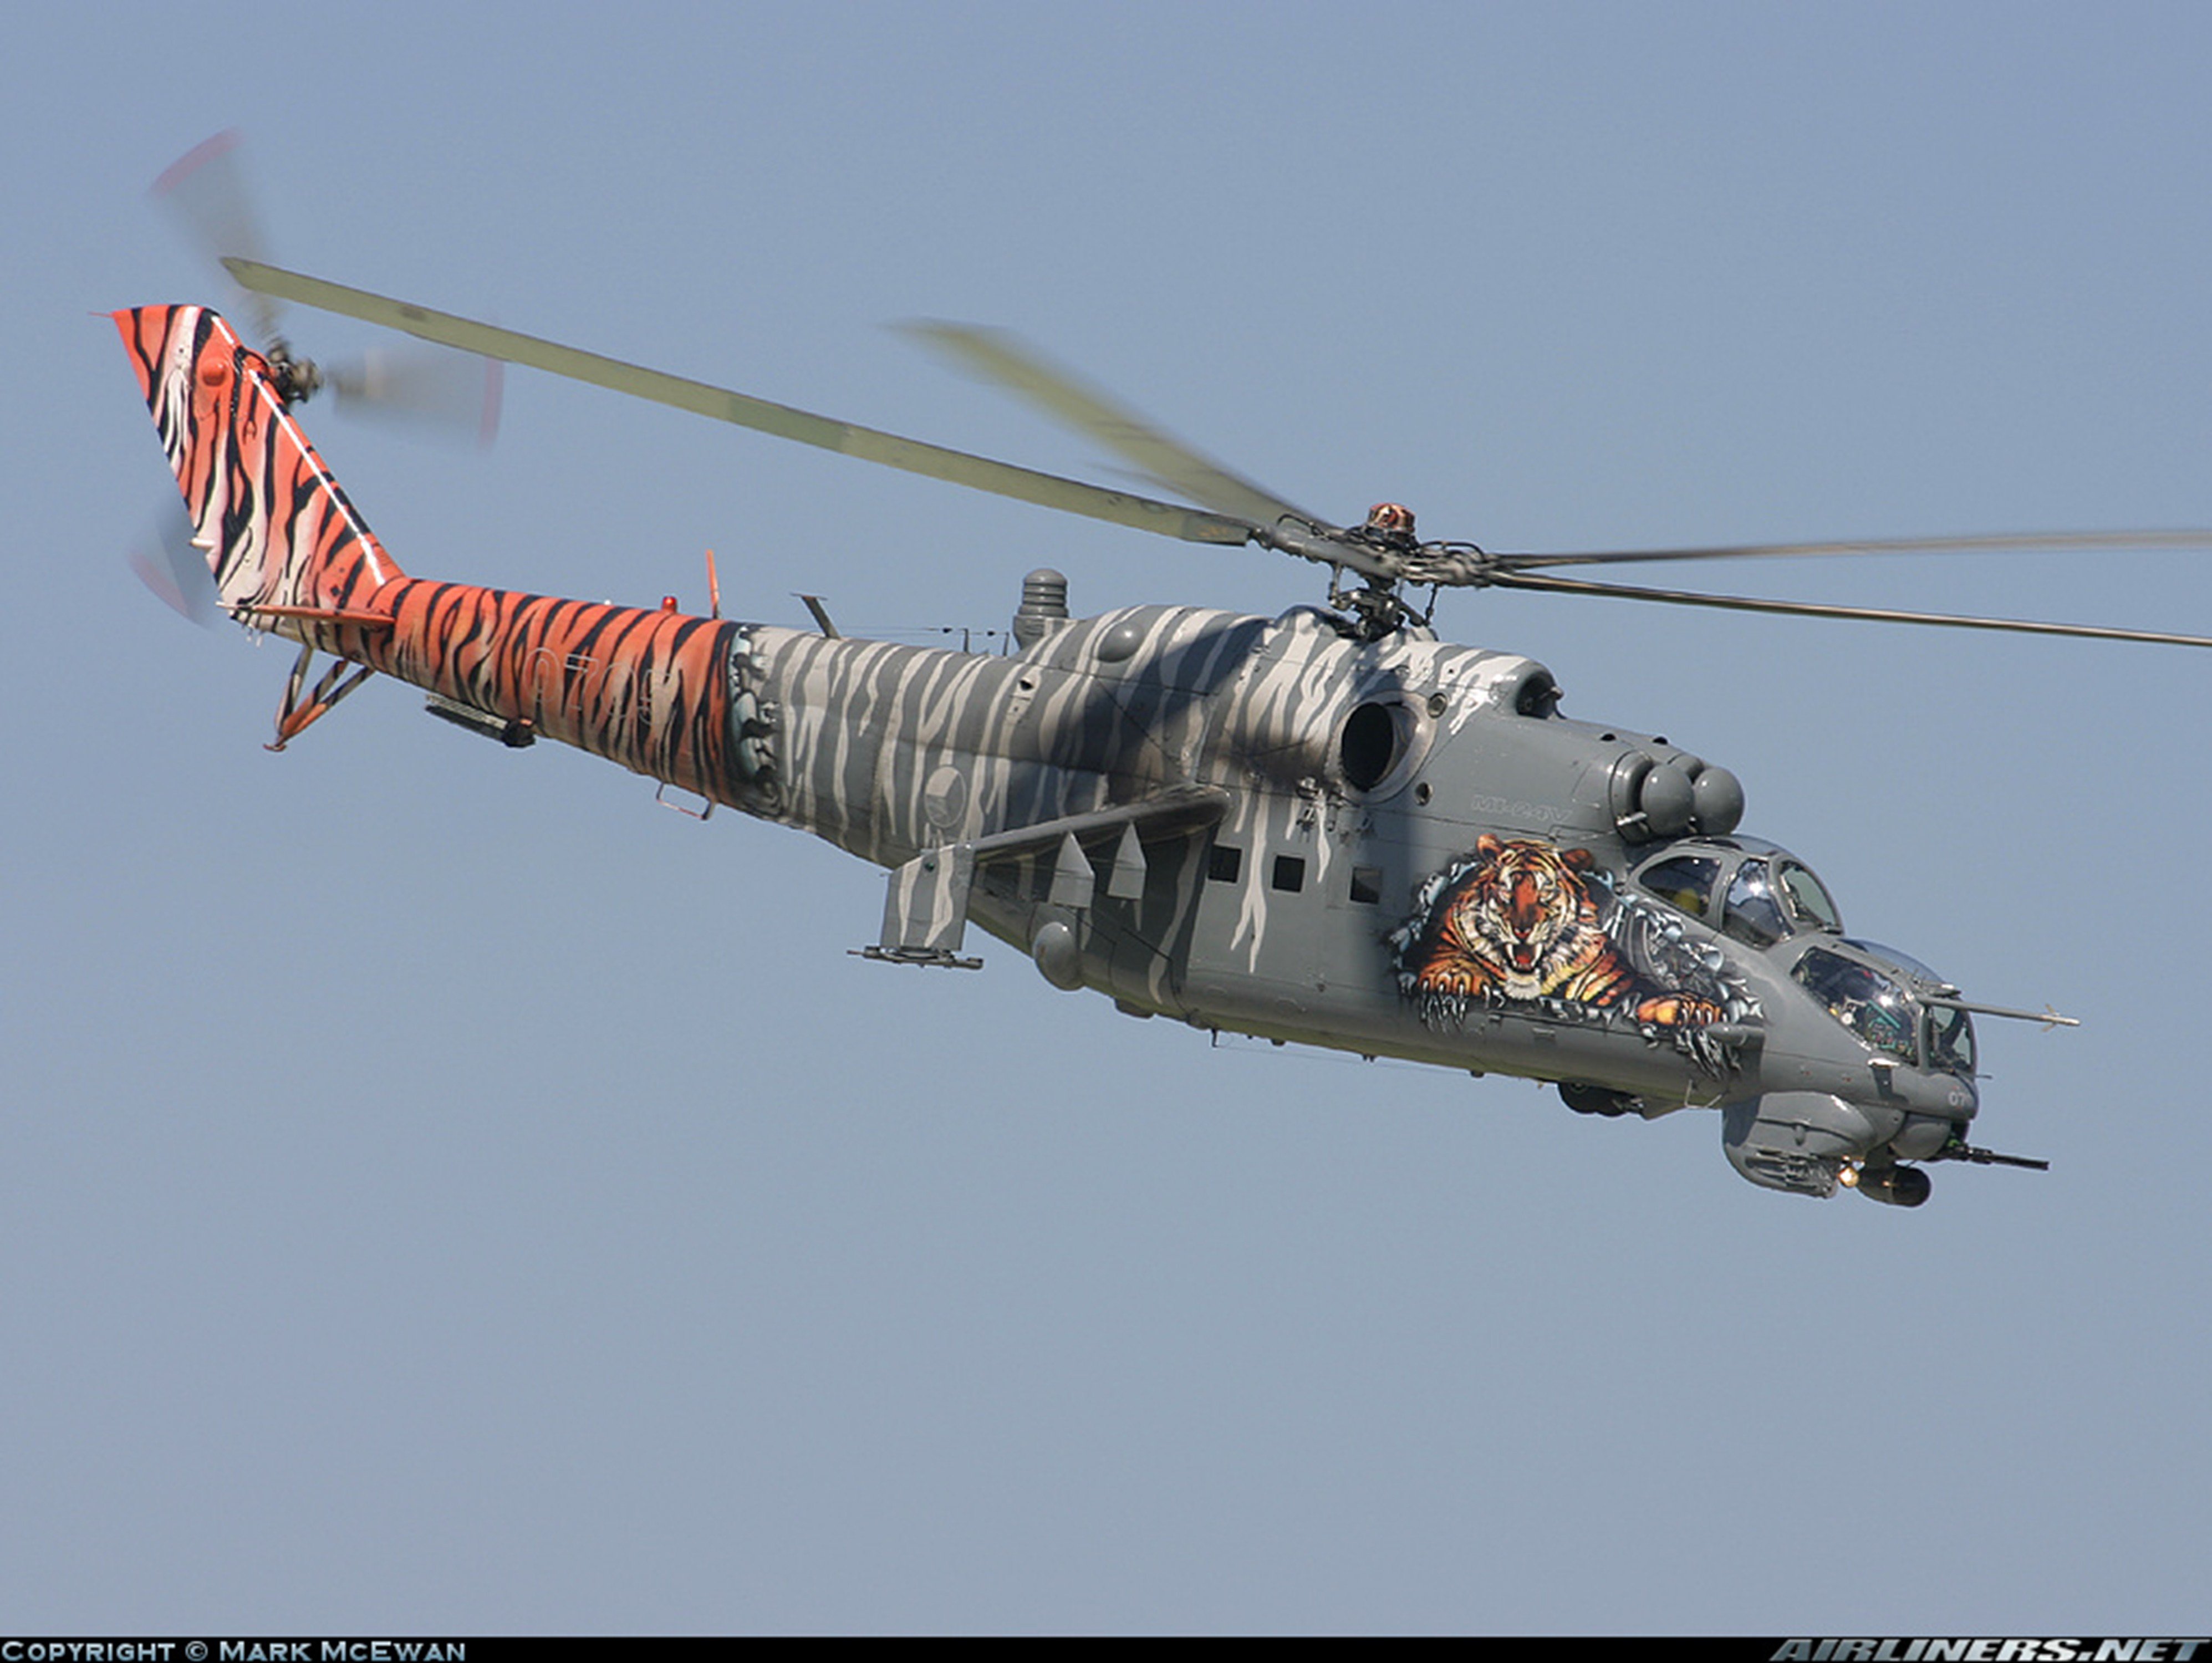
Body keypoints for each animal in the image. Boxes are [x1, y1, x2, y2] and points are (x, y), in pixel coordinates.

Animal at [1397, 835, 1719, 1027]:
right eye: (1507, 890)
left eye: (1546, 891)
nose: (1522, 929)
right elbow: (1452, 963)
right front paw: (1456, 979)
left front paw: (1691, 1007)